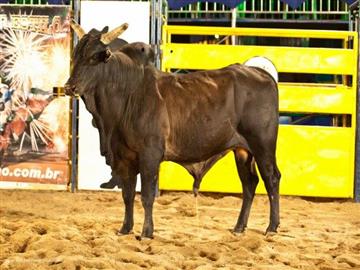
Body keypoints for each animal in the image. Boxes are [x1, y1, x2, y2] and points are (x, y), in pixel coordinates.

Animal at [66, 23, 282, 238]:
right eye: (75, 56)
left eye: (93, 57)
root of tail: (260, 73)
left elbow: (146, 195)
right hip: (242, 150)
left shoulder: (150, 154)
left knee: (271, 178)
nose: (69, 87)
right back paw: (239, 227)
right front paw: (125, 228)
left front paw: (147, 232)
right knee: (249, 183)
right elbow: (127, 195)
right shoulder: (123, 156)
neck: (127, 95)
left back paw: (272, 227)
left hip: (262, 145)